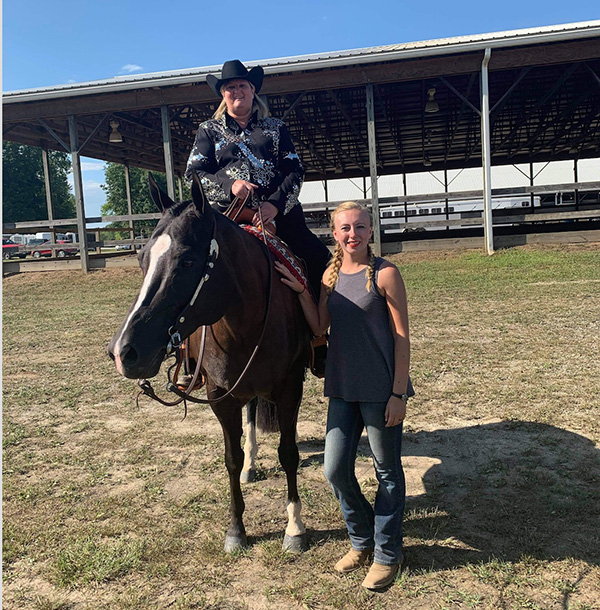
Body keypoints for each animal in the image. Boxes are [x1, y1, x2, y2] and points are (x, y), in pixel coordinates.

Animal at [108, 175, 312, 552]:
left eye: (187, 262)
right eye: (142, 258)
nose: (123, 352)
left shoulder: (290, 388)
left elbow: (288, 452)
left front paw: (294, 528)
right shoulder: (221, 395)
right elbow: (231, 459)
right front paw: (236, 529)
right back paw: (251, 464)